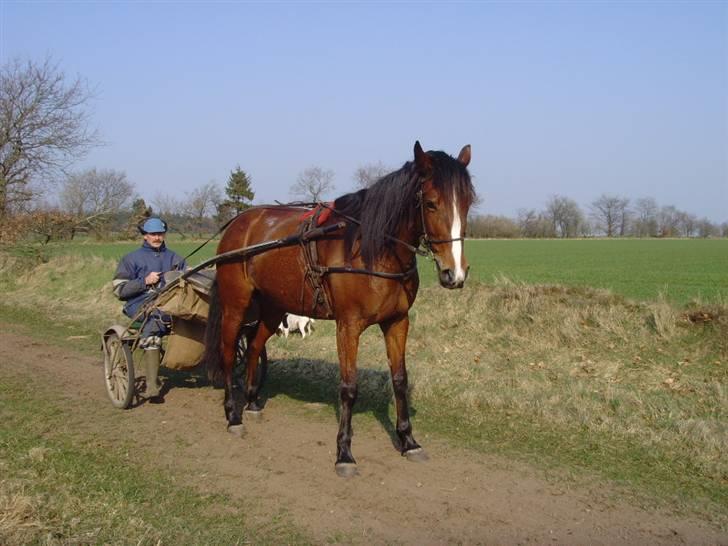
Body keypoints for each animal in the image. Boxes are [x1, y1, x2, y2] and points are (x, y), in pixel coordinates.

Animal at [203, 141, 478, 476]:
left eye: (467, 203)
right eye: (431, 203)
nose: (455, 273)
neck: (372, 250)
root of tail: (239, 224)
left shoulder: (398, 322)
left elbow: (399, 380)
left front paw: (408, 440)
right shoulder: (348, 326)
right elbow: (349, 387)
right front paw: (344, 453)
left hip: (273, 307)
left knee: (254, 346)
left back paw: (253, 402)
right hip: (236, 304)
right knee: (230, 352)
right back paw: (233, 414)